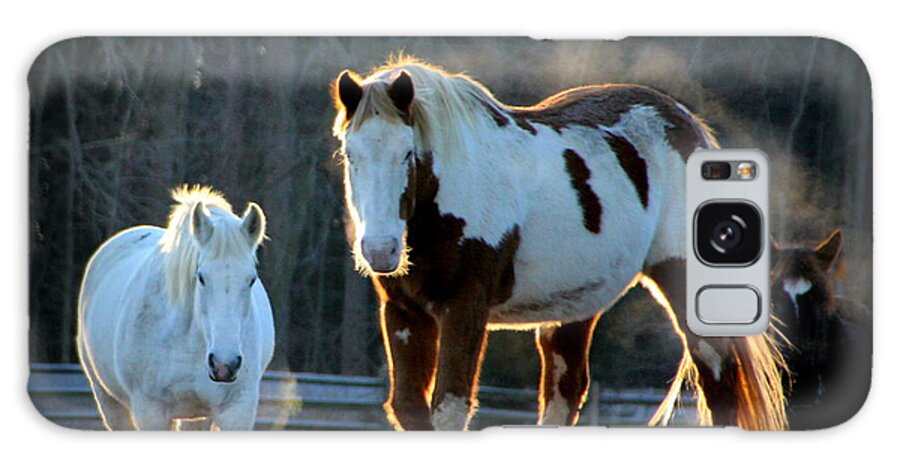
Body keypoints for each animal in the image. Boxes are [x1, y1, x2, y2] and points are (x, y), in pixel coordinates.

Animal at [77, 186, 274, 432]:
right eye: (201, 277)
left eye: (251, 279)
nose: (224, 365)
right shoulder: (150, 411)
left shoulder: (237, 411)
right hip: (109, 401)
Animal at [332, 58, 788, 432]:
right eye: (350, 155)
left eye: (407, 154)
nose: (381, 251)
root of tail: (689, 126)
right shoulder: (405, 313)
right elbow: (409, 408)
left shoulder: (465, 307)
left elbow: (449, 408)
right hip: (575, 305)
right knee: (566, 393)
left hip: (682, 283)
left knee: (716, 374)